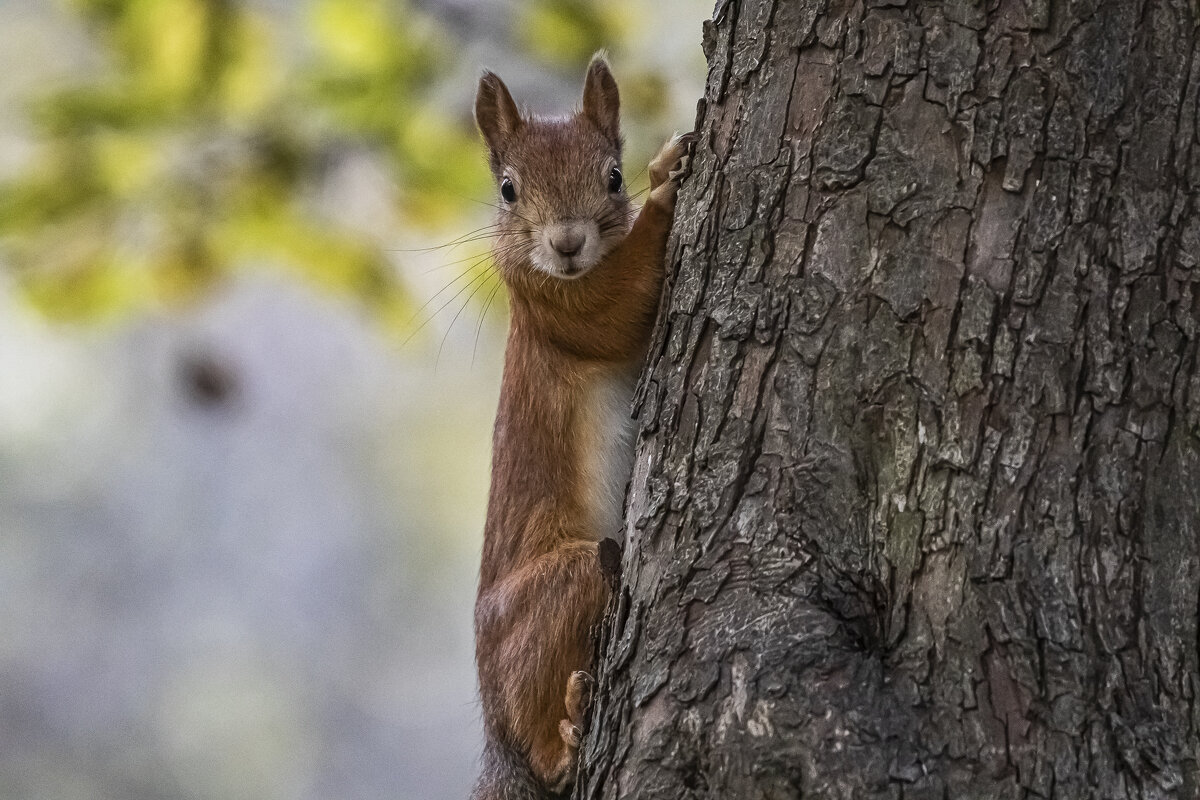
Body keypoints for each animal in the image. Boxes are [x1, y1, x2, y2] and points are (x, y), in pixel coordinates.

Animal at [470, 53, 691, 796]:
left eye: (613, 176)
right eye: (508, 190)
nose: (566, 243)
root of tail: (493, 727)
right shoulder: (557, 308)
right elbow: (617, 303)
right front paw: (669, 183)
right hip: (564, 583)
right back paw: (566, 735)